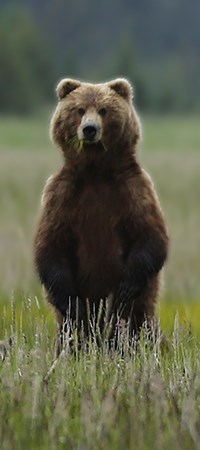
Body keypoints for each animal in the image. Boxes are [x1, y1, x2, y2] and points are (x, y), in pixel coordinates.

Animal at [34, 76, 169, 348]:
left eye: (104, 110)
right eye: (79, 110)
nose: (89, 129)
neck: (95, 172)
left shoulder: (133, 191)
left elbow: (150, 237)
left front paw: (126, 288)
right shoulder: (62, 196)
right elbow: (51, 246)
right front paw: (73, 304)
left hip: (141, 311)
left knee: (134, 327)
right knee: (71, 333)